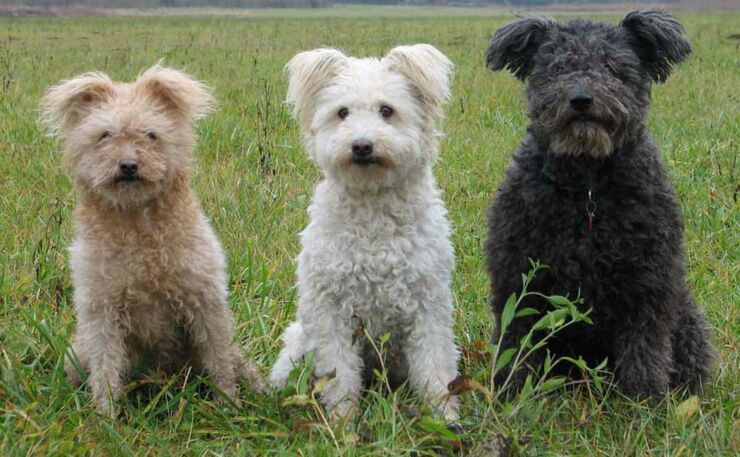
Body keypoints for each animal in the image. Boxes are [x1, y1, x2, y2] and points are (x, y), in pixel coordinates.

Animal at [268, 44, 460, 418]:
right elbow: (340, 375)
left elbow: (434, 365)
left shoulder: (428, 305)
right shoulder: (331, 311)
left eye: (387, 110)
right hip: (300, 343)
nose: (361, 145)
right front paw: (342, 420)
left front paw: (445, 416)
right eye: (342, 112)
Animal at [482, 10, 712, 400]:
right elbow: (516, 339)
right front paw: (512, 391)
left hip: (687, 321)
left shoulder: (648, 283)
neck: (587, 189)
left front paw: (644, 400)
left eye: (613, 66)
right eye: (557, 67)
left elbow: (645, 346)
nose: (581, 99)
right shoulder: (518, 276)